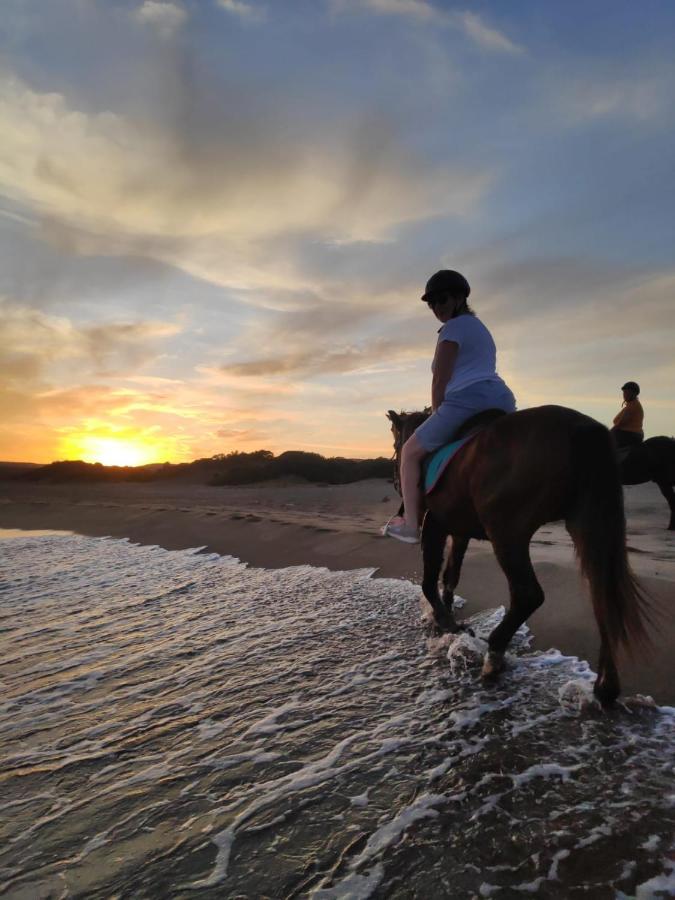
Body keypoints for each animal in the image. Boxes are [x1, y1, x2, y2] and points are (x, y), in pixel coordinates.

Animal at [388, 404, 652, 708]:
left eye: (395, 442)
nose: (395, 482)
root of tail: (581, 428)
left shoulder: (435, 523)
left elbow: (430, 579)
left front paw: (444, 621)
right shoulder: (460, 531)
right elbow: (451, 575)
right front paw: (448, 615)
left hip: (507, 532)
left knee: (528, 594)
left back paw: (494, 656)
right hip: (587, 523)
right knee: (602, 594)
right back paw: (605, 687)